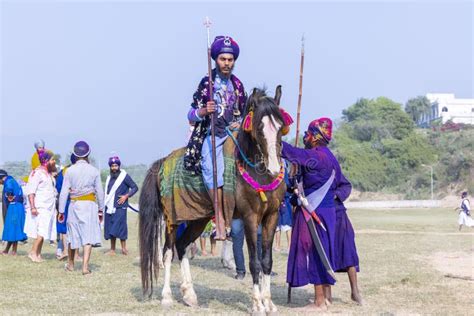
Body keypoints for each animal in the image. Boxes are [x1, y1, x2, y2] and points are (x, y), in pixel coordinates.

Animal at [139, 86, 286, 314]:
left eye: (280, 127)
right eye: (260, 127)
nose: (274, 168)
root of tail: (163, 162)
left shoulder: (272, 216)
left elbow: (267, 261)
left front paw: (269, 303)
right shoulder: (250, 218)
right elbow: (255, 262)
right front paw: (257, 304)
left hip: (198, 218)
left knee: (182, 246)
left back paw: (189, 295)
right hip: (172, 219)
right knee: (168, 252)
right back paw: (167, 296)